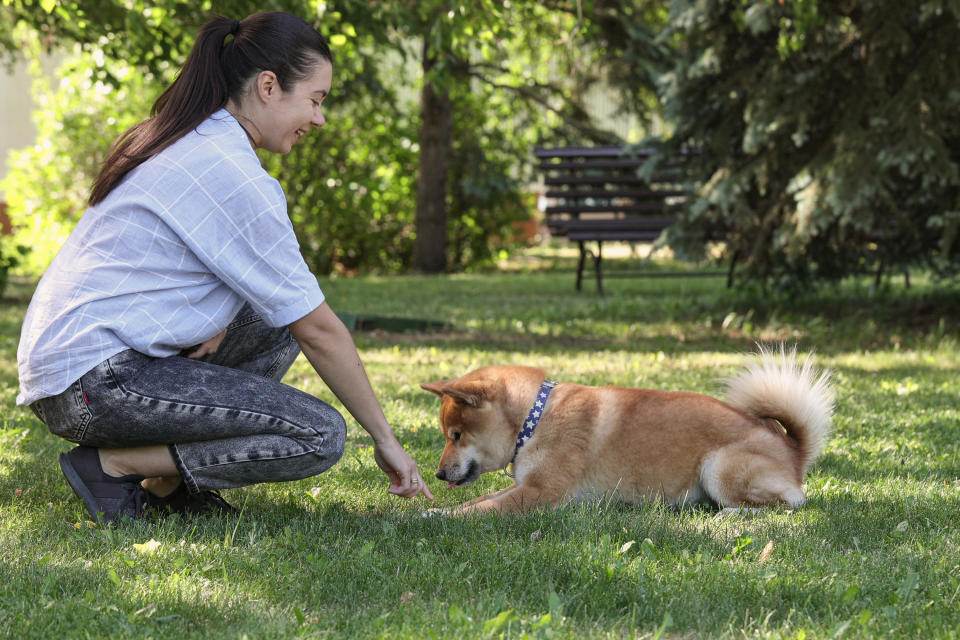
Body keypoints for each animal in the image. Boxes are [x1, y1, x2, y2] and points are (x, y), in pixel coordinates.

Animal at [420, 344, 832, 516]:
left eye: (455, 435)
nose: (438, 474)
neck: (534, 420)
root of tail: (792, 450)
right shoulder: (526, 486)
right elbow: (476, 501)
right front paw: (434, 509)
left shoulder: (539, 494)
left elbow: (479, 509)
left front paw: (431, 517)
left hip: (719, 466)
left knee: (788, 504)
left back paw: (727, 514)